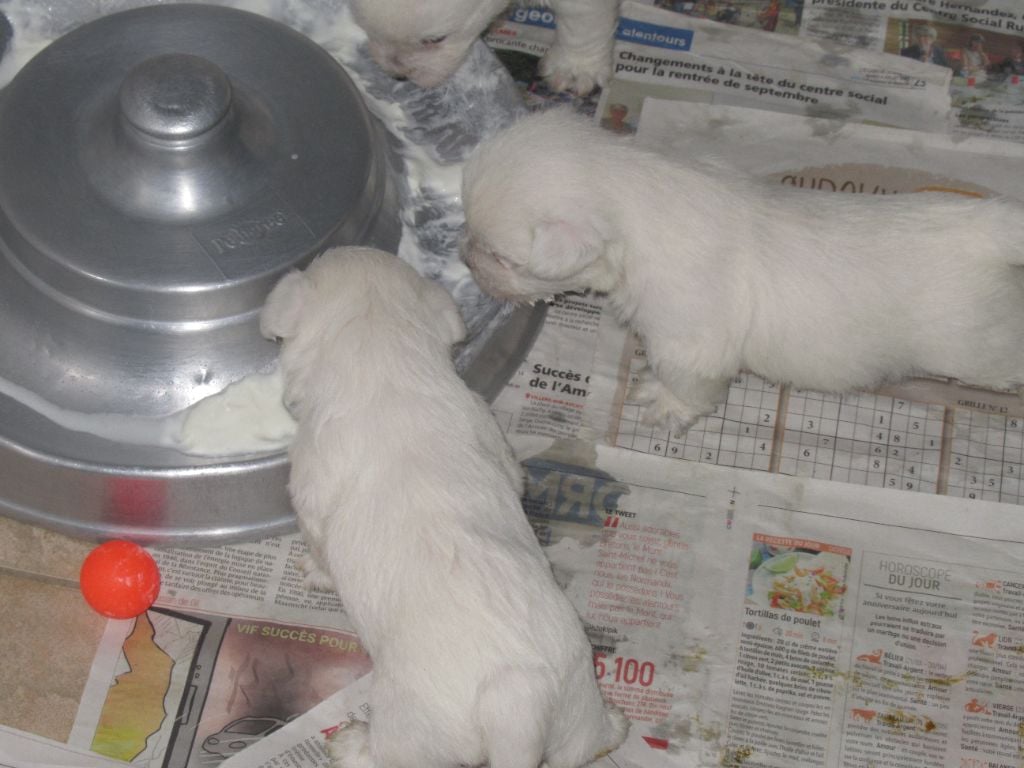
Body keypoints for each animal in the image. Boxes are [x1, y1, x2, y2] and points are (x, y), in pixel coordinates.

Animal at [260, 246, 626, 768]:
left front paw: (314, 571)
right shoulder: (496, 443)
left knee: (389, 753)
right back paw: (615, 725)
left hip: (411, 727)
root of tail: (518, 701)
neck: (383, 355)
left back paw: (352, 745)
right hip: (575, 703)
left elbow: (319, 543)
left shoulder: (310, 490)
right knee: (587, 741)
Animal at [460, 108, 1024, 434]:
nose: (466, 258)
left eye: (501, 258)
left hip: (976, 346)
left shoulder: (689, 341)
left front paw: (663, 403)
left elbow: (684, 381)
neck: (637, 191)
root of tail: (989, 226)